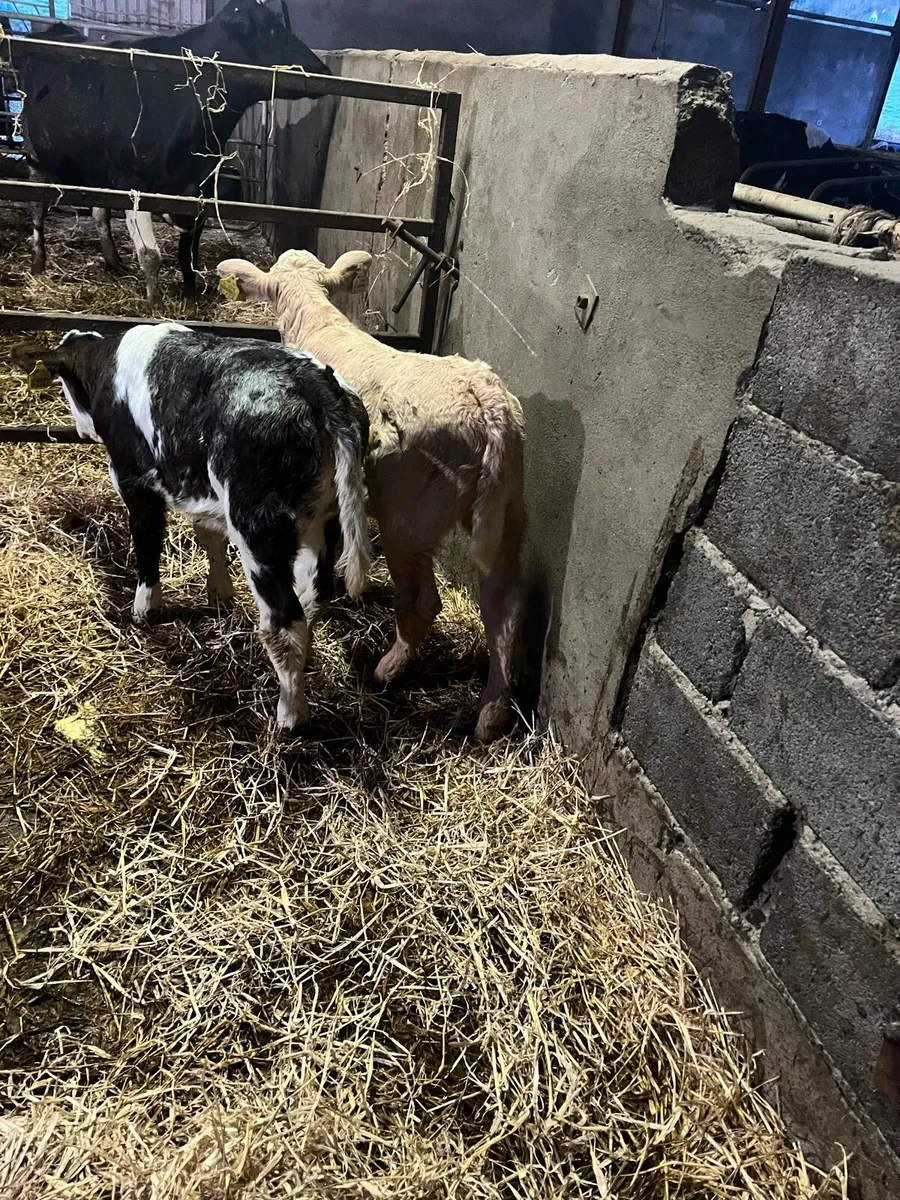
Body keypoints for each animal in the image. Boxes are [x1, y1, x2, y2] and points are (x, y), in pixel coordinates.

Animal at [13, 325, 371, 729]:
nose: (79, 428)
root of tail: (319, 386)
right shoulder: (200, 488)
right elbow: (209, 536)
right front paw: (218, 593)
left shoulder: (132, 477)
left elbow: (147, 539)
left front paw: (145, 609)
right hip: (324, 518)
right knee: (316, 591)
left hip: (258, 527)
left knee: (284, 622)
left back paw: (290, 715)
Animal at [17, 0, 330, 306]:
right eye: (272, 30)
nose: (324, 71)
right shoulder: (135, 188)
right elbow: (150, 256)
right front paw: (155, 305)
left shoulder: (198, 191)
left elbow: (187, 254)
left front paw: (190, 298)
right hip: (35, 156)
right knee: (36, 210)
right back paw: (38, 264)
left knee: (99, 213)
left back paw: (114, 262)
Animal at [217, 249, 527, 744]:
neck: (318, 321)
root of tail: (486, 404)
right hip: (509, 504)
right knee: (505, 602)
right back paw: (491, 714)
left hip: (407, 511)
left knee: (423, 602)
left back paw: (389, 668)